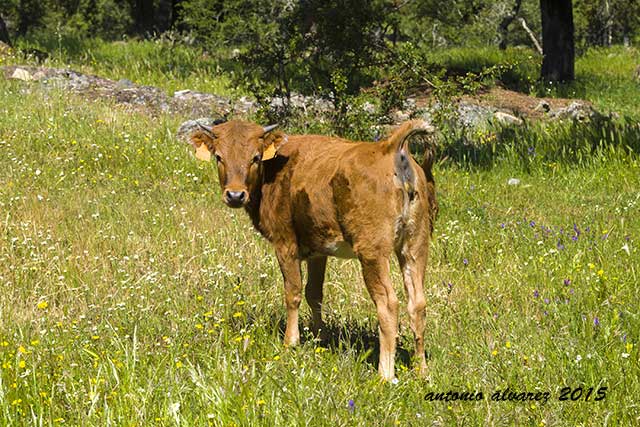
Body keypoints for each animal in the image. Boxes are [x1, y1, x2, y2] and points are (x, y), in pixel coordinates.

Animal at [185, 118, 436, 380]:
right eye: (219, 157)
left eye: (255, 157)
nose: (235, 195)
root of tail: (389, 147)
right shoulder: (319, 249)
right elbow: (314, 293)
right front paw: (319, 337)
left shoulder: (285, 243)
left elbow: (293, 292)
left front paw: (290, 342)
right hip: (415, 246)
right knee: (417, 303)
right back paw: (421, 370)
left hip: (373, 252)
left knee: (388, 304)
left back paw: (385, 374)